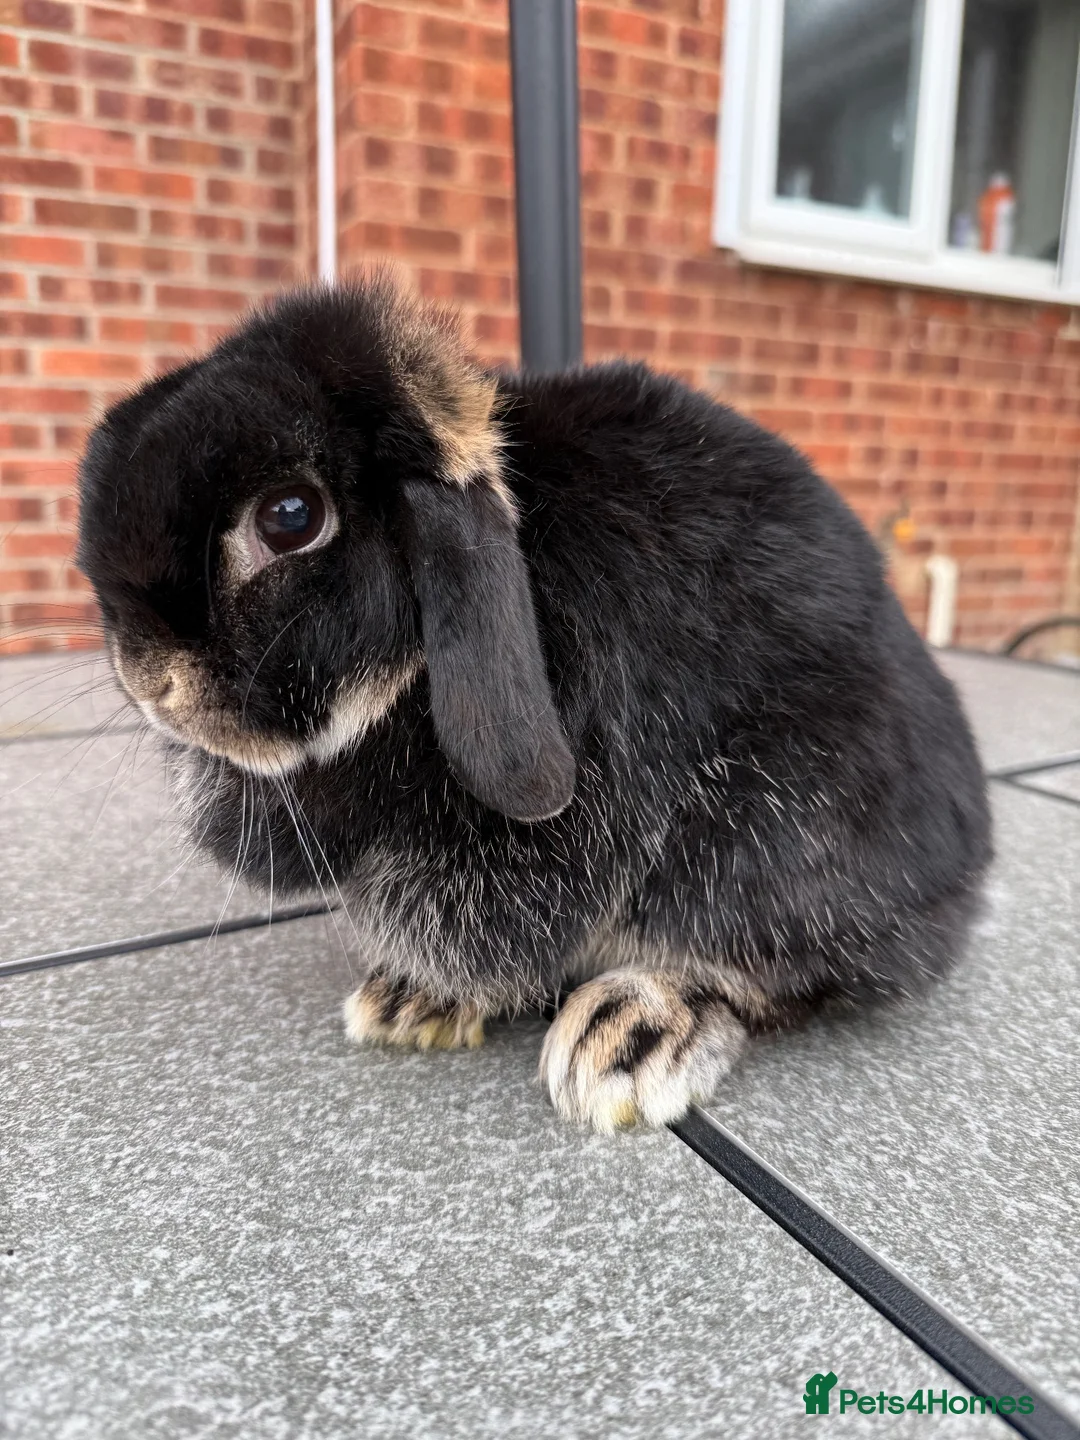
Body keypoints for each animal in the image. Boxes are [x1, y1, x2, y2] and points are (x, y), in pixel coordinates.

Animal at [77, 277, 992, 1132]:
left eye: (291, 517)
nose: (148, 677)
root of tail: (967, 873)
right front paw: (414, 1001)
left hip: (775, 827)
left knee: (780, 968)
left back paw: (627, 1036)